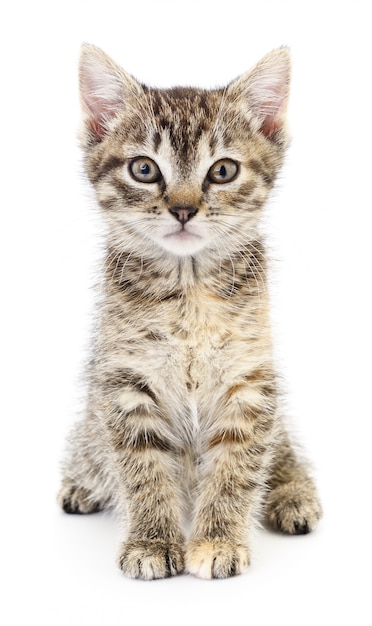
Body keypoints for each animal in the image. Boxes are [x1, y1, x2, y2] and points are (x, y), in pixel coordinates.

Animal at [58, 45, 322, 580]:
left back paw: (294, 493)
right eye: (144, 169)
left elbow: (238, 467)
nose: (183, 209)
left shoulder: (251, 380)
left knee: (284, 447)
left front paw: (219, 539)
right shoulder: (123, 382)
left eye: (222, 171)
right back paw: (82, 483)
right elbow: (142, 470)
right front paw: (152, 541)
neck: (189, 290)